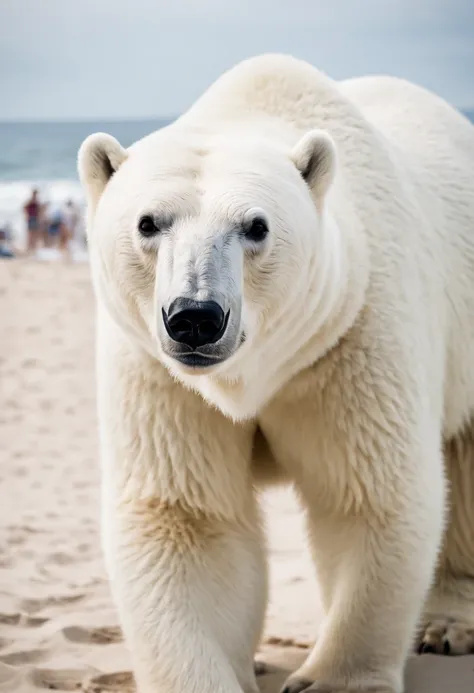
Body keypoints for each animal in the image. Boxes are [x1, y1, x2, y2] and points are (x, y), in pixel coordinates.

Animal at [78, 55, 474, 692]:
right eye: (148, 223)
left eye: (256, 227)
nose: (195, 317)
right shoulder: (158, 371)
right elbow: (188, 519)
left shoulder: (352, 334)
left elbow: (368, 494)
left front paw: (332, 679)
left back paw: (445, 625)